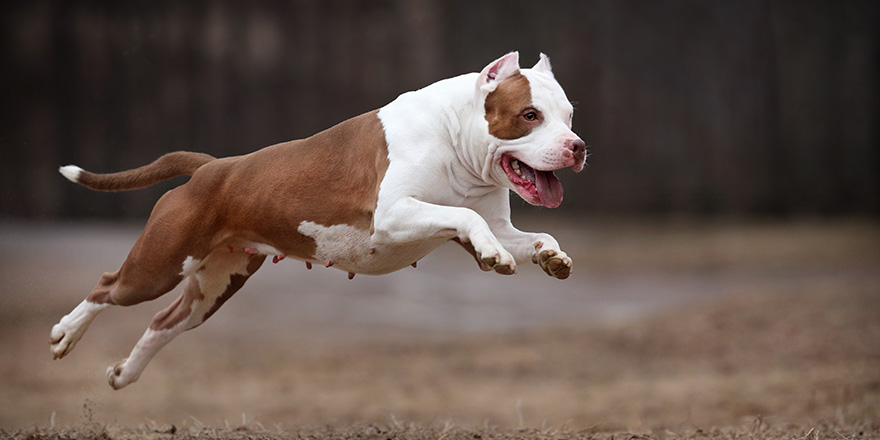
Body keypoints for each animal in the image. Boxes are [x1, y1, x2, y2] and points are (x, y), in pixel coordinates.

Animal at [49, 52, 584, 388]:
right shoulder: (393, 214)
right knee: (107, 286)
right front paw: (491, 253)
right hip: (159, 264)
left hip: (215, 285)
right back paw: (65, 334)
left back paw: (126, 374)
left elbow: (529, 232)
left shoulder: (496, 223)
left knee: (164, 322)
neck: (456, 136)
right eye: (529, 115)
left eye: (570, 115)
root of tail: (212, 168)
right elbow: (464, 215)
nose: (577, 147)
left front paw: (551, 256)